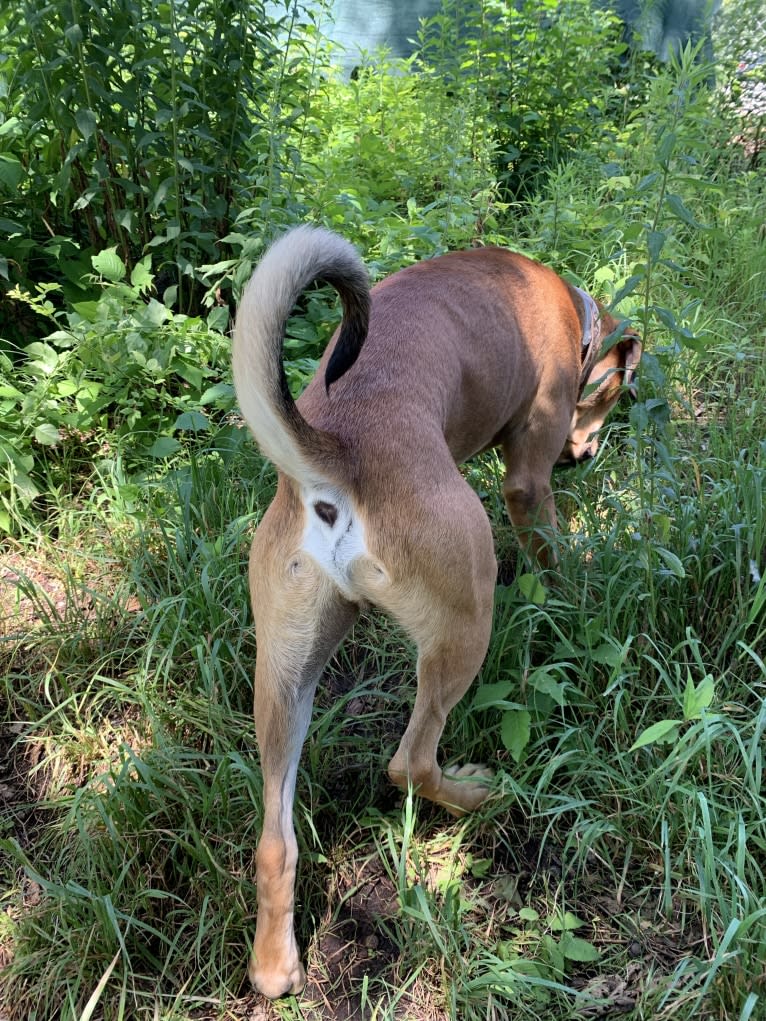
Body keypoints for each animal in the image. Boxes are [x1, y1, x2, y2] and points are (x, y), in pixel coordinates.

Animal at [232, 225, 641, 996]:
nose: (587, 452)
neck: (570, 310)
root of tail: (336, 457)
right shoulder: (528, 478)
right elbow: (552, 549)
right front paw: (580, 596)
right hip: (464, 620)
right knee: (411, 763)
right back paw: (481, 794)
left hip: (284, 678)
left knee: (275, 842)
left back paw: (275, 965)